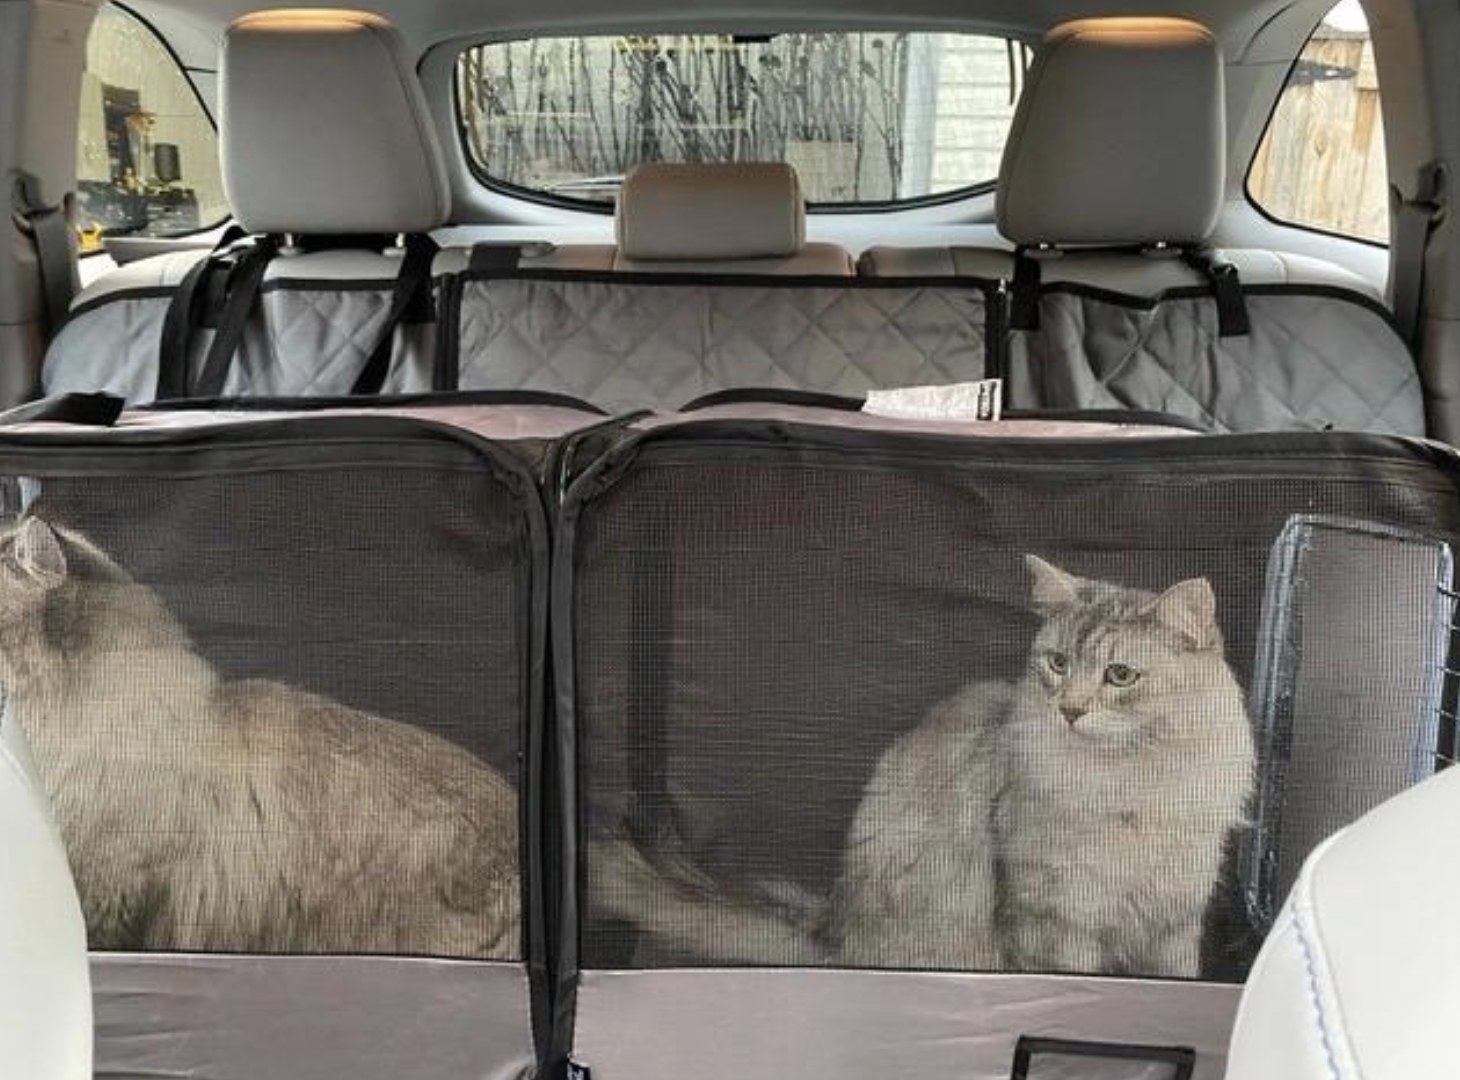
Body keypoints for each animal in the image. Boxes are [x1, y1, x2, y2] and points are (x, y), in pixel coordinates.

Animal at [592, 551, 1255, 974]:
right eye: (1058, 663)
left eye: (1120, 675)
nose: (1069, 710)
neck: (1131, 787)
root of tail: (836, 930)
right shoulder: (1054, 921)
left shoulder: (1173, 921)